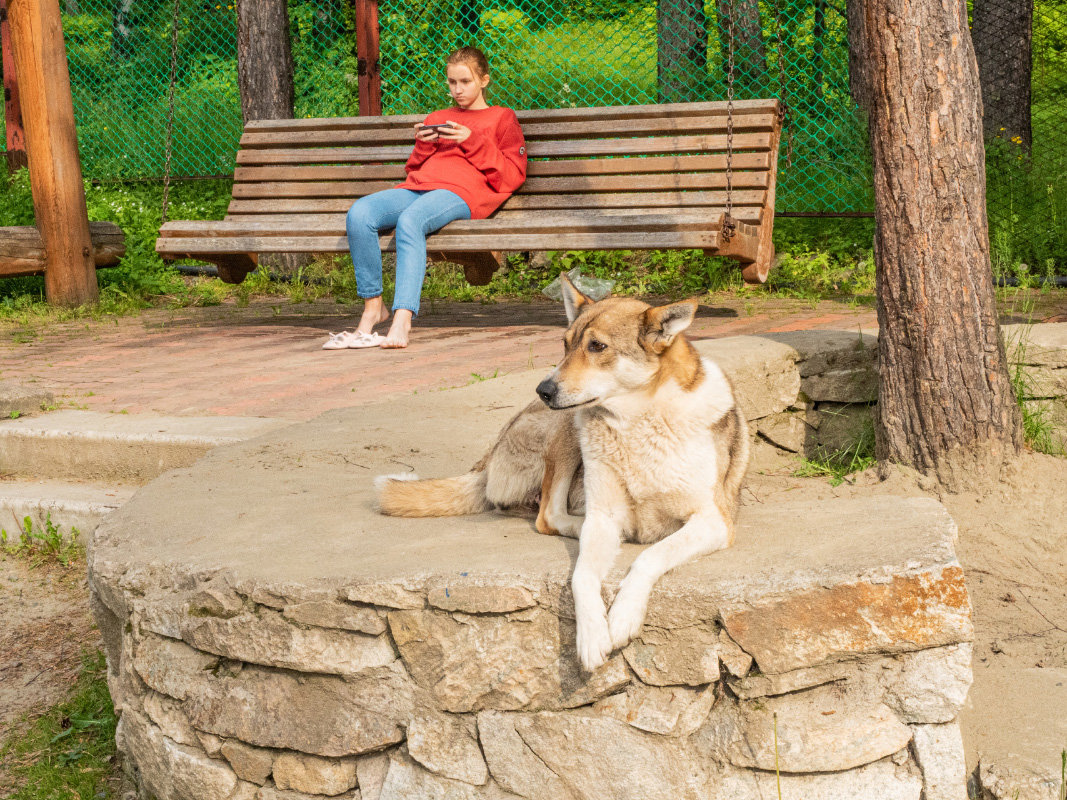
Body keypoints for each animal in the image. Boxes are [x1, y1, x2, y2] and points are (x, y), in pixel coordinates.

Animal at [375, 275, 751, 669]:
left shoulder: (714, 521)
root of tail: (489, 454)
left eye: (597, 346)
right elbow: (582, 574)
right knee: (549, 515)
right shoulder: (604, 517)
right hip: (569, 426)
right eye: (565, 344)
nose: (543, 389)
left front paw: (623, 616)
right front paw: (592, 635)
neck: (639, 420)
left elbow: (651, 556)